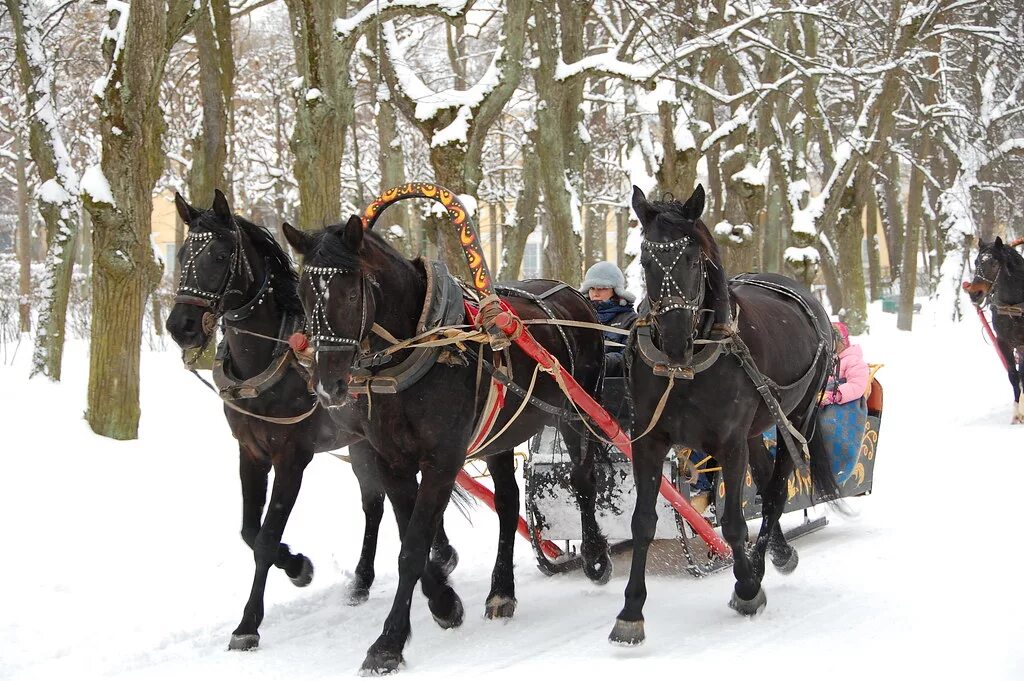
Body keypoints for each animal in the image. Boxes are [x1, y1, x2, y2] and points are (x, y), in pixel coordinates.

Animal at [284, 215, 606, 671]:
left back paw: (594, 556)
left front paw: (388, 642)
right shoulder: (392, 461)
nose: (328, 386)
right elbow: (409, 538)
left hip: (578, 411)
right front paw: (444, 604)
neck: (417, 349)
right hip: (498, 435)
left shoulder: (442, 460)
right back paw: (501, 591)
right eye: (302, 292)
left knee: (582, 479)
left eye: (350, 292)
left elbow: (413, 547)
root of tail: (572, 293)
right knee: (507, 503)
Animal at [606, 184, 839, 643]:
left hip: (796, 417)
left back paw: (761, 565)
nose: (674, 340)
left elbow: (732, 521)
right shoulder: (649, 440)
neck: (686, 368)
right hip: (756, 430)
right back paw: (778, 553)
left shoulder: (729, 444)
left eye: (692, 259)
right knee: (765, 482)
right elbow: (643, 521)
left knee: (774, 494)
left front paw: (747, 588)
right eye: (646, 259)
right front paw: (631, 610)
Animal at [962, 236, 1024, 421]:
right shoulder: (1003, 342)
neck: (1013, 308)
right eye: (976, 262)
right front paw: (1017, 412)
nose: (974, 293)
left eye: (995, 263)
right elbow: (1013, 375)